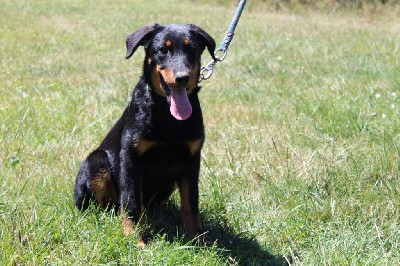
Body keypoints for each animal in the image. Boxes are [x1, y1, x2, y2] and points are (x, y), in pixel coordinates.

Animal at [72, 22, 216, 247]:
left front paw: (196, 237)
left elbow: (191, 202)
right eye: (163, 50)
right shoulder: (131, 158)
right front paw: (134, 239)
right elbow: (131, 201)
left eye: (191, 48)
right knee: (109, 205)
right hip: (96, 162)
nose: (182, 78)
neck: (167, 115)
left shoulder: (192, 159)